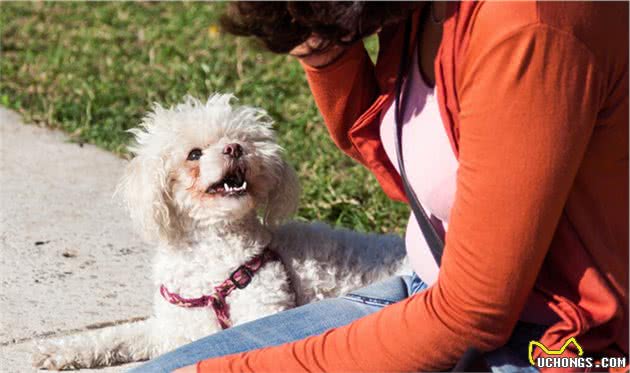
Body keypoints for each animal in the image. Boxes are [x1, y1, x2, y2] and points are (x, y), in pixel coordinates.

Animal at [33, 94, 410, 368]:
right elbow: (115, 336)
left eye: (244, 141)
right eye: (193, 154)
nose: (234, 148)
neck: (209, 252)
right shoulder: (173, 328)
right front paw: (59, 350)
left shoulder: (264, 310)